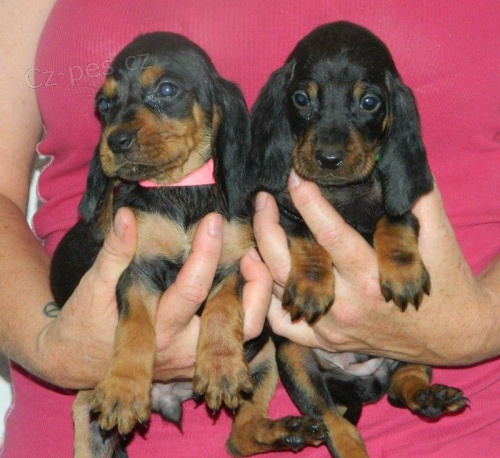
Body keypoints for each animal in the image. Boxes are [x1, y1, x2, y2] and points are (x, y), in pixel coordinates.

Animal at [52, 32, 330, 458]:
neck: (179, 187)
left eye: (167, 90)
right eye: (104, 104)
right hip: (88, 414)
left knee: (239, 436)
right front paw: (124, 388)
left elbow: (222, 305)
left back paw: (288, 429)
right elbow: (135, 325)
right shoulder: (136, 269)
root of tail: (169, 396)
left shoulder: (238, 263)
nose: (115, 141)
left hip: (265, 355)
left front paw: (219, 367)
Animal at [246, 22, 468, 458]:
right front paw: (312, 283)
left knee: (404, 383)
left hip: (411, 349)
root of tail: (364, 380)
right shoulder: (282, 208)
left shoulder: (403, 202)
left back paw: (430, 397)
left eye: (369, 102)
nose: (329, 159)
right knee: (332, 418)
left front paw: (402, 272)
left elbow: (393, 221)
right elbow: (306, 234)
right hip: (293, 354)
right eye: (300, 98)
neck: (341, 193)